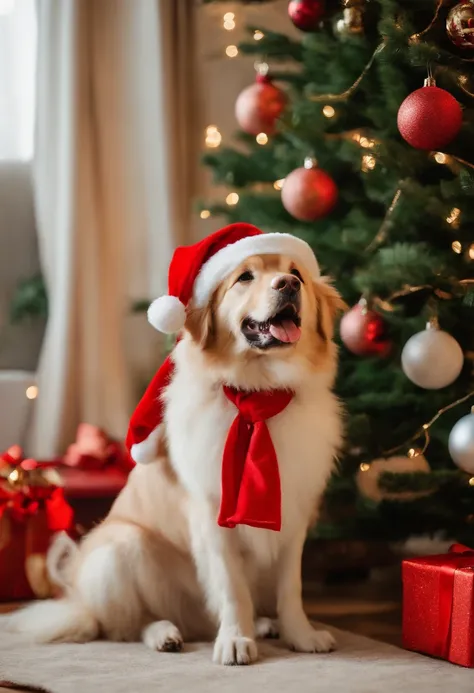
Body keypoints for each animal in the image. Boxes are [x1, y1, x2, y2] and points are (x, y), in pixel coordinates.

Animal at [8, 227, 344, 664]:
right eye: (245, 277)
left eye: (297, 274)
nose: (287, 285)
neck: (259, 394)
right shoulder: (212, 515)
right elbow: (231, 589)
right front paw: (235, 639)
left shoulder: (294, 514)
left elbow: (291, 589)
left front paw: (300, 635)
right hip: (119, 550)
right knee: (127, 626)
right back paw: (165, 633)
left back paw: (260, 625)